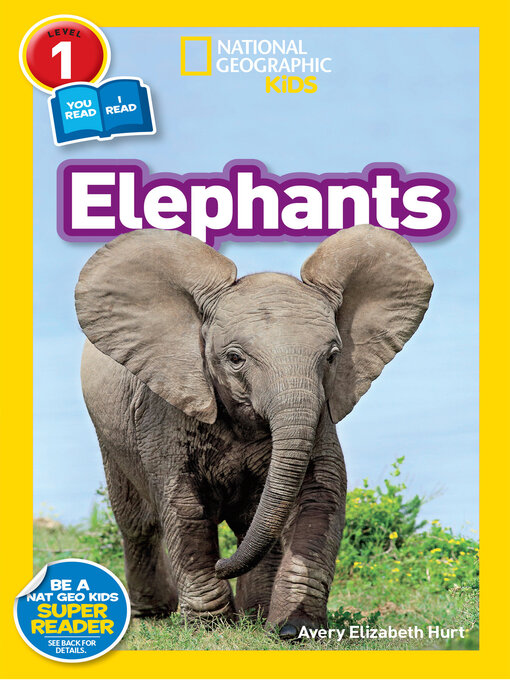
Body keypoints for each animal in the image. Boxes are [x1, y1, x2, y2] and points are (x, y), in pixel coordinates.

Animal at [75, 223, 433, 639]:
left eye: (332, 356)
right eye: (234, 358)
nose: (222, 566)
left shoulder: (319, 413)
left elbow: (320, 494)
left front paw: (295, 629)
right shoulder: (162, 408)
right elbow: (184, 504)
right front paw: (209, 628)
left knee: (250, 522)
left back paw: (254, 615)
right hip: (109, 432)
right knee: (136, 521)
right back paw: (153, 612)